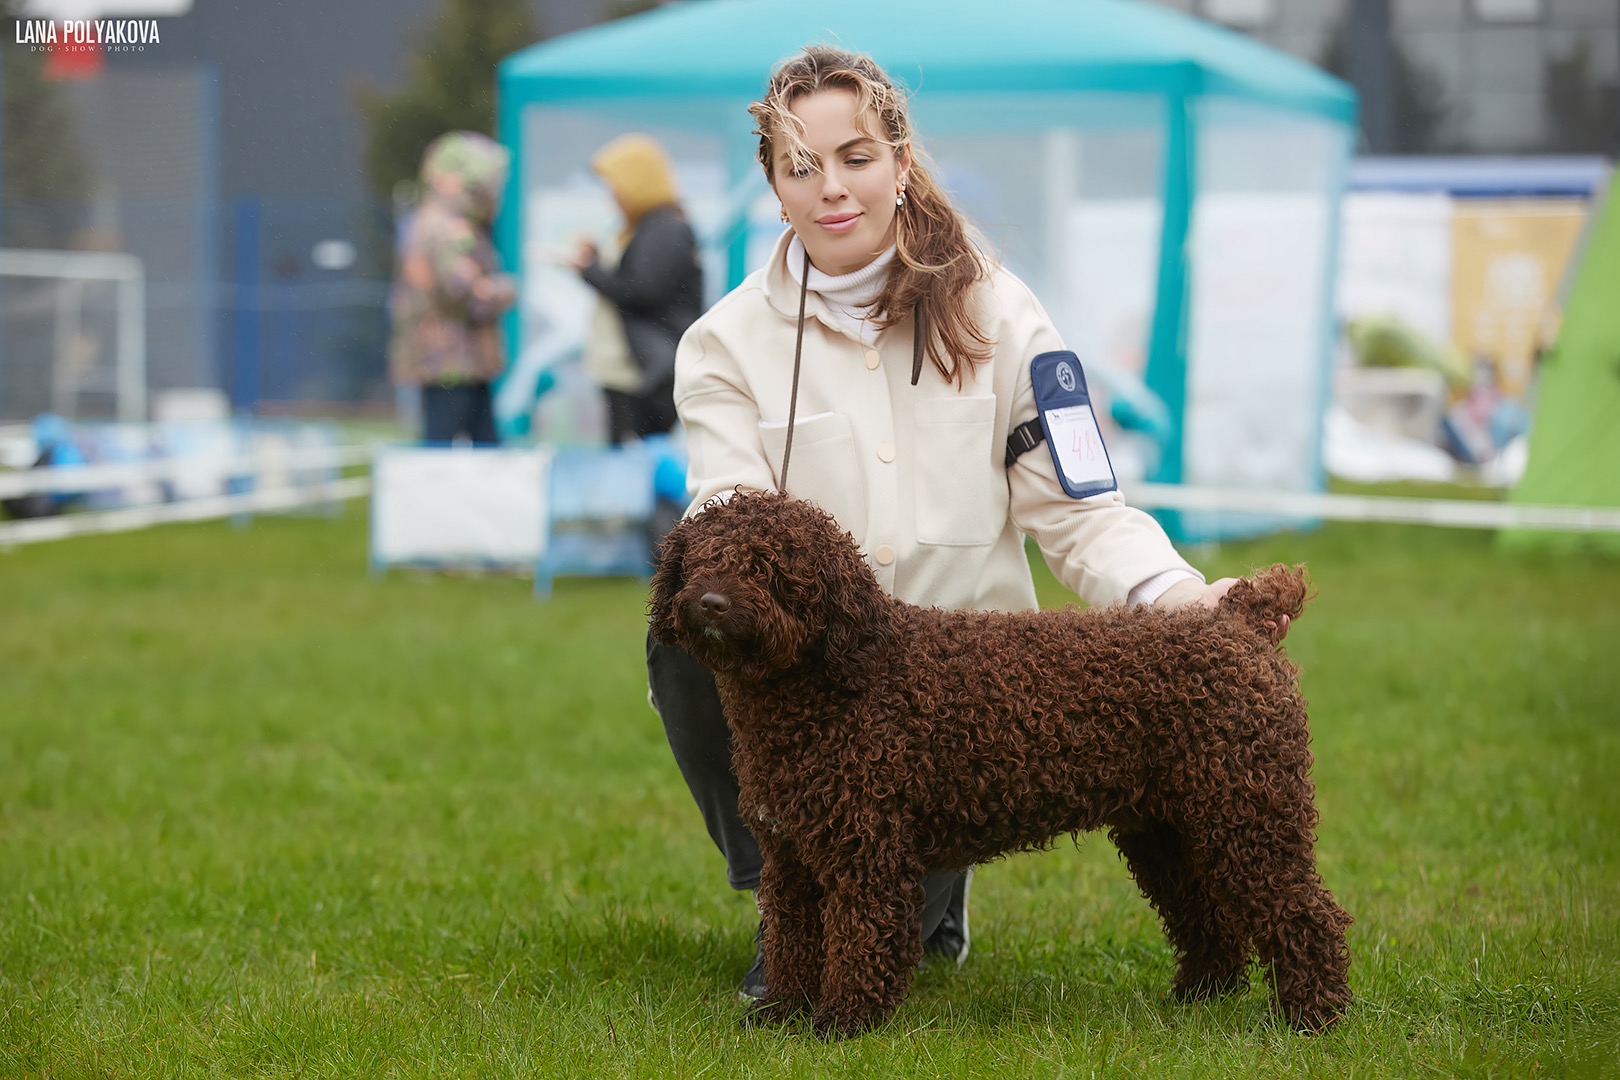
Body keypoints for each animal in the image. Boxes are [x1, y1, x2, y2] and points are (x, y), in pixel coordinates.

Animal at [648, 488, 1354, 1036]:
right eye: (701, 559)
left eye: (771, 567)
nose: (710, 603)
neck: (836, 681)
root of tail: (1239, 623)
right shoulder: (790, 857)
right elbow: (793, 943)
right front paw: (782, 1013)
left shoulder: (866, 854)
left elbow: (858, 941)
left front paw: (840, 1023)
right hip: (1166, 832)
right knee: (1207, 918)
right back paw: (1197, 998)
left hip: (1249, 818)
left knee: (1306, 914)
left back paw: (1314, 1018)